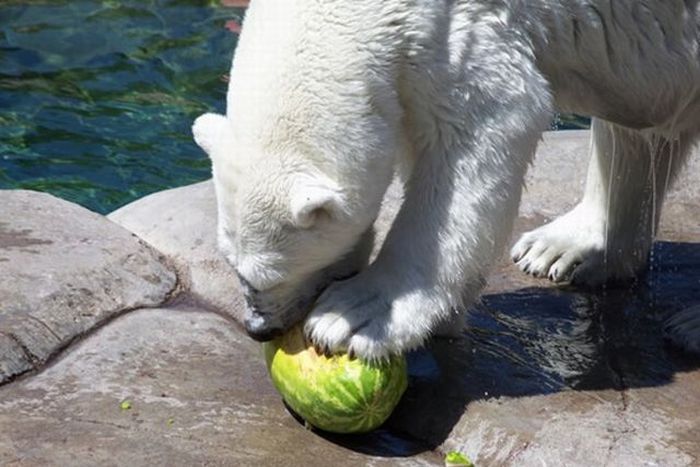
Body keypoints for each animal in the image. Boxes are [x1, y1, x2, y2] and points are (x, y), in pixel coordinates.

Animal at [194, 0, 700, 362]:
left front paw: (358, 316)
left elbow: (479, 136)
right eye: (231, 264)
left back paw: (689, 326)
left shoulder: (465, 32)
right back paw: (566, 246)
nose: (259, 328)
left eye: (268, 275)